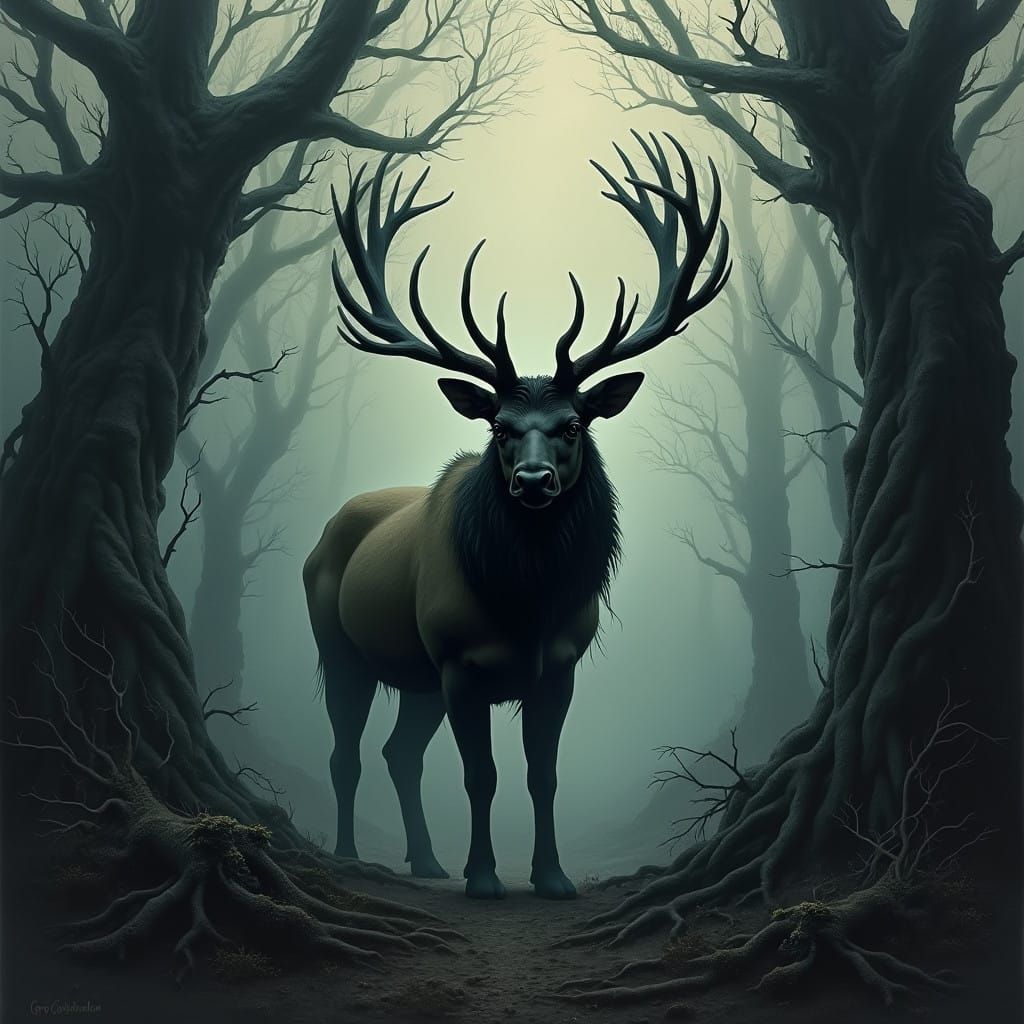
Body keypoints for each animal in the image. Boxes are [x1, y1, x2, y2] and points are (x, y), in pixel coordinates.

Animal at [303, 133, 731, 900]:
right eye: (500, 427)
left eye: (572, 424)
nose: (533, 482)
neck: (526, 606)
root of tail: (326, 533)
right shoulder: (460, 663)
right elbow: (482, 776)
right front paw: (483, 878)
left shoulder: (557, 669)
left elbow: (543, 776)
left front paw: (552, 876)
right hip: (342, 648)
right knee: (345, 751)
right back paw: (352, 855)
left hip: (417, 678)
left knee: (399, 752)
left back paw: (425, 859)